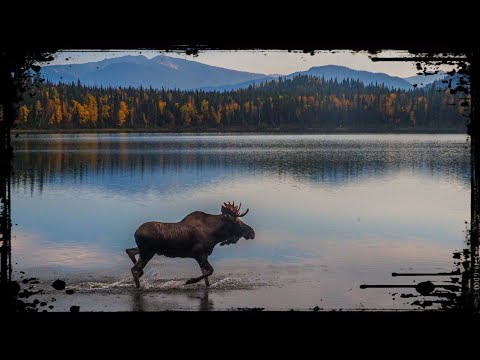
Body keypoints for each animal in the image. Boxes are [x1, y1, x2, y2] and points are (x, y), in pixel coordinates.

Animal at [126, 201, 255, 288]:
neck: (215, 235)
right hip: (147, 252)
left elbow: (206, 277)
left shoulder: (203, 255)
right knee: (134, 269)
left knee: (130, 251)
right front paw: (190, 281)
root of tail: (135, 233)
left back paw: (140, 275)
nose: (252, 232)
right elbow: (210, 271)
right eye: (237, 222)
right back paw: (138, 285)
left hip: (146, 250)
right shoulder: (198, 253)